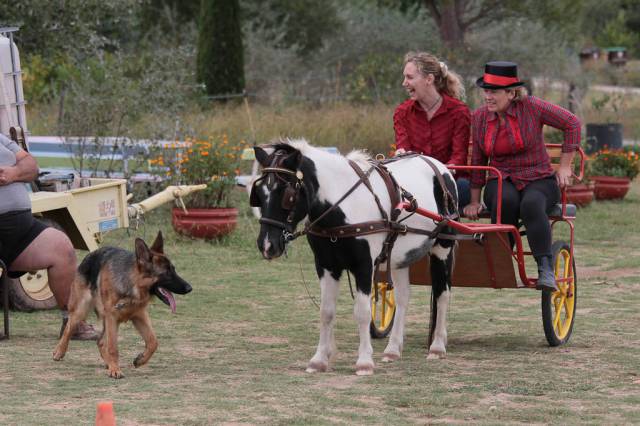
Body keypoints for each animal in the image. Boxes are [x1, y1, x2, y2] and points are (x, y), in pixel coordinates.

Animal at [52, 231, 192, 378]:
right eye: (166, 273)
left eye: (174, 270)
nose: (190, 288)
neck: (132, 286)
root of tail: (90, 255)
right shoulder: (113, 317)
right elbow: (113, 347)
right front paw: (115, 369)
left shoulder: (139, 316)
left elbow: (153, 342)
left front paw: (140, 360)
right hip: (81, 310)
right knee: (69, 328)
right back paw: (59, 351)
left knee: (101, 341)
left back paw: (108, 362)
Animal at [249, 140, 456, 376]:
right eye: (258, 193)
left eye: (286, 194)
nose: (267, 245)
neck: (341, 207)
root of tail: (438, 165)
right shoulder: (325, 266)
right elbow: (326, 311)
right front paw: (319, 359)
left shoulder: (364, 266)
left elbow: (363, 312)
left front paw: (364, 361)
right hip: (399, 258)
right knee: (403, 297)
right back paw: (393, 349)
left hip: (443, 247)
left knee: (442, 294)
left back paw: (437, 346)